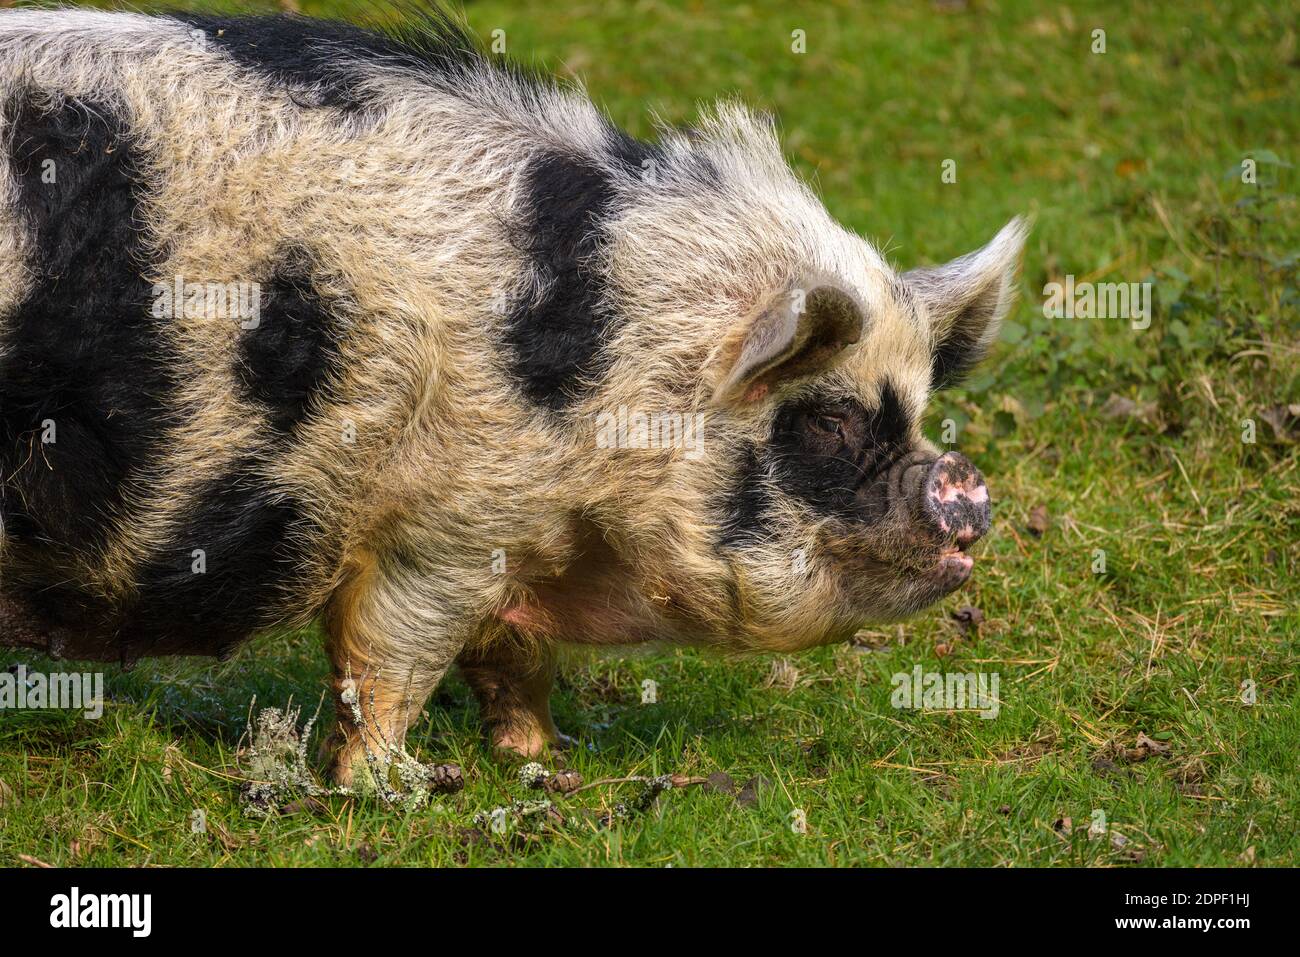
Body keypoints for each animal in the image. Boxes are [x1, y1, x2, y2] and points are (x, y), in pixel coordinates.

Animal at [0, 9, 1024, 785]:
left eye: (916, 414)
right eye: (831, 420)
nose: (964, 483)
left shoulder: (521, 534)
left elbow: (514, 658)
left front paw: (547, 757)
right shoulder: (438, 526)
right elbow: (392, 657)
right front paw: (393, 786)